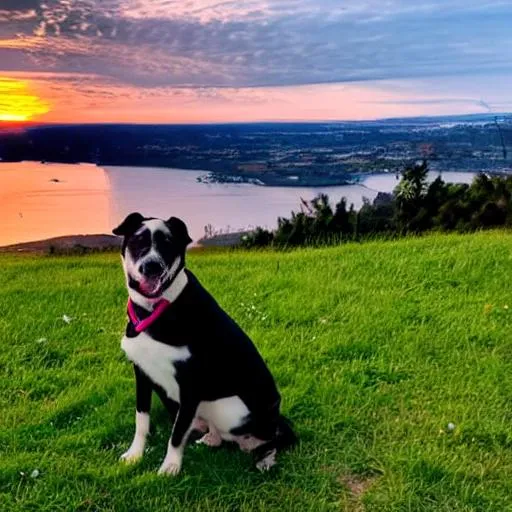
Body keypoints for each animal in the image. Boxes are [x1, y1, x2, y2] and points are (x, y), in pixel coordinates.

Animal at [112, 213, 296, 476]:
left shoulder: (191, 384)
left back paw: (265, 458)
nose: (152, 266)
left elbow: (177, 433)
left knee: (276, 438)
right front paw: (135, 455)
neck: (155, 310)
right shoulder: (142, 374)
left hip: (231, 409)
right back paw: (210, 438)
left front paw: (170, 467)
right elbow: (142, 420)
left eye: (168, 243)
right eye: (138, 241)